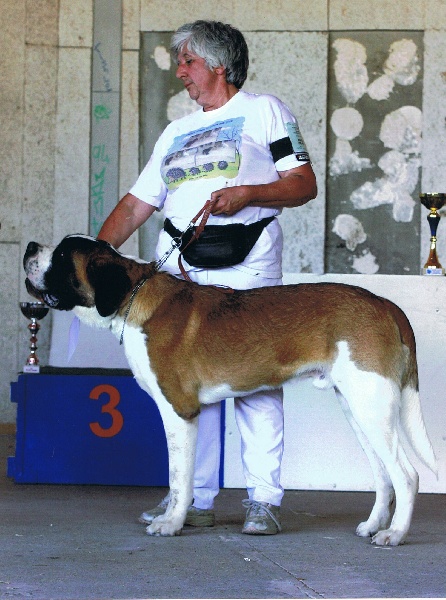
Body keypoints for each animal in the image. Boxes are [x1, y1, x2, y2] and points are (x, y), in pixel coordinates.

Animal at [23, 234, 437, 545]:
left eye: (62, 255)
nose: (28, 246)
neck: (134, 295)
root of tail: (385, 304)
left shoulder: (179, 411)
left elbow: (178, 477)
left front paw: (171, 523)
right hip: (360, 409)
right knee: (384, 476)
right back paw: (372, 526)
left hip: (372, 408)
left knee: (407, 476)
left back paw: (394, 534)